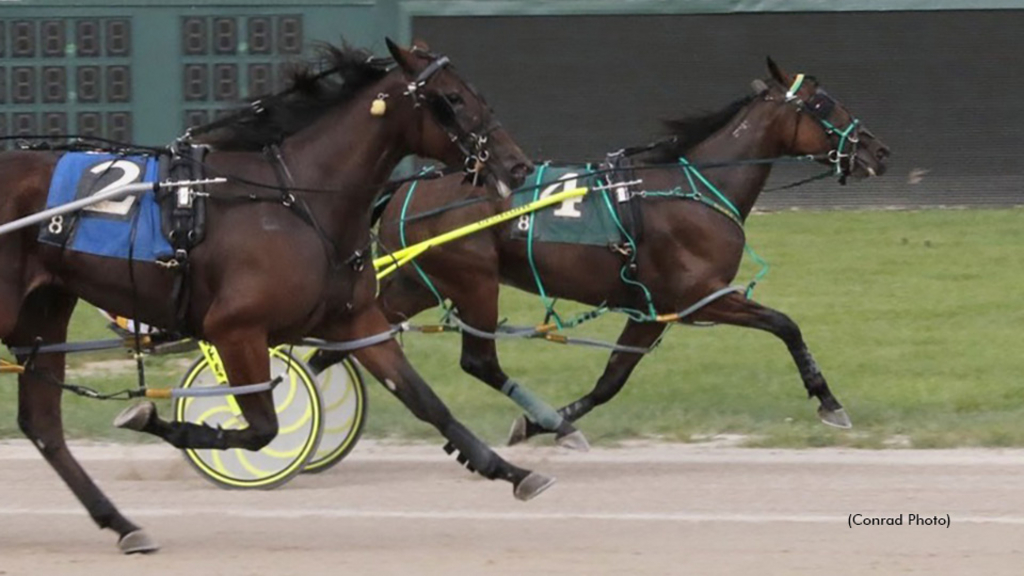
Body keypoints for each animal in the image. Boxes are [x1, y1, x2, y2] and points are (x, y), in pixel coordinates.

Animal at [0, 40, 548, 553]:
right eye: (452, 98)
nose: (518, 165)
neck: (294, 201)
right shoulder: (233, 329)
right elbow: (261, 427)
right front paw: (155, 418)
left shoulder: (357, 321)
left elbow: (427, 401)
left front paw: (513, 472)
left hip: (43, 313)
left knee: (42, 425)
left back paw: (122, 524)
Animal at [335, 60, 888, 448]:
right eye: (824, 106)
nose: (877, 150)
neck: (692, 187)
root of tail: (408, 186)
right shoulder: (703, 298)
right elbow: (785, 324)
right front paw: (829, 401)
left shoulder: (654, 310)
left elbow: (611, 381)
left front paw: (539, 426)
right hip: (472, 283)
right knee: (476, 361)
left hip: (419, 283)